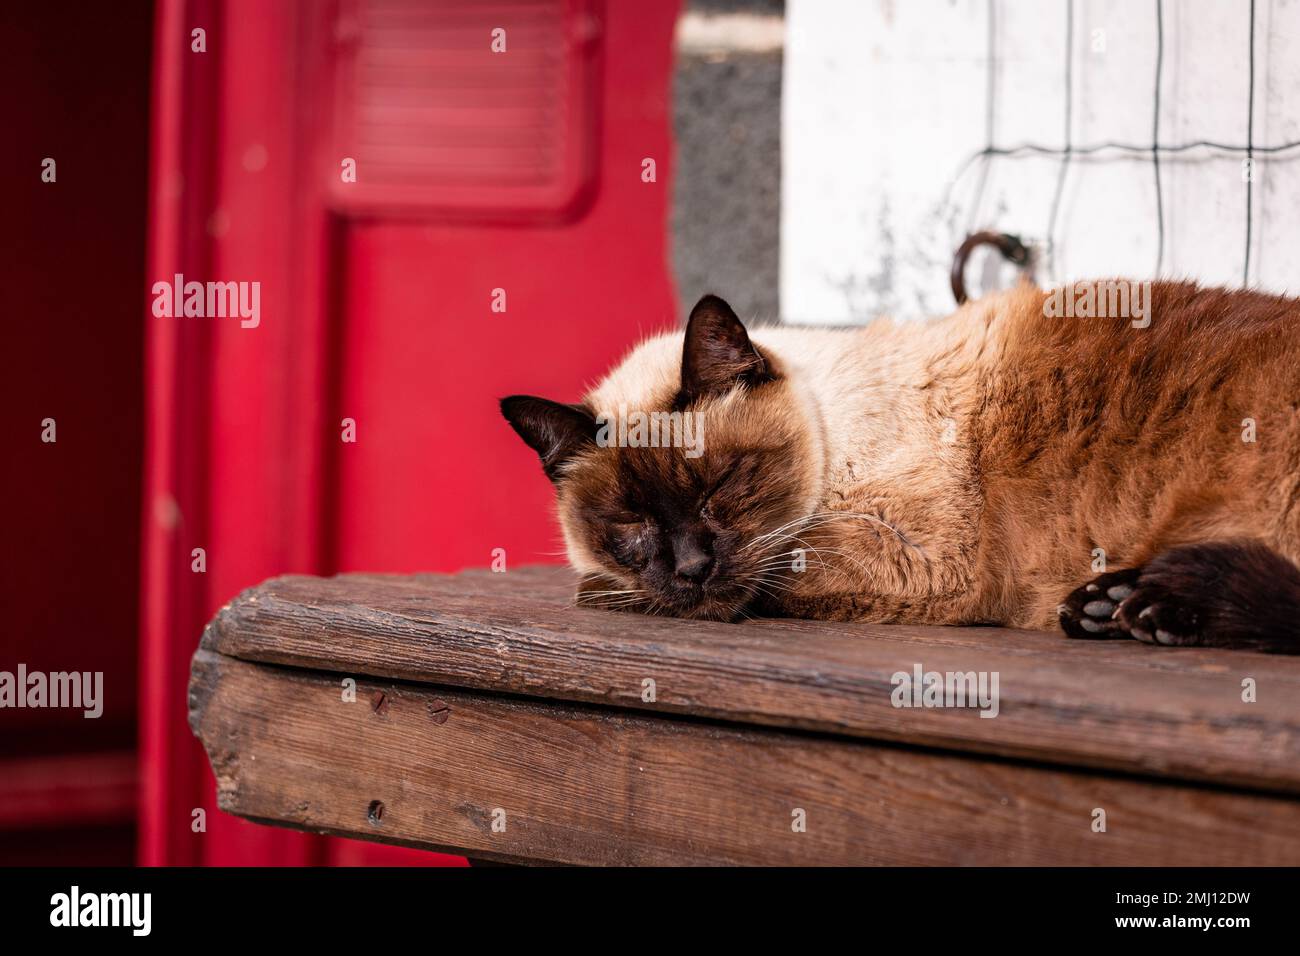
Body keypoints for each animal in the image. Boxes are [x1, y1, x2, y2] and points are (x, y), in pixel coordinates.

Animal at [501, 283, 1300, 655]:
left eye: (722, 485)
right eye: (631, 527)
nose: (693, 569)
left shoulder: (917, 554)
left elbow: (780, 569)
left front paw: (602, 595)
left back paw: (1143, 606)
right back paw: (1108, 608)